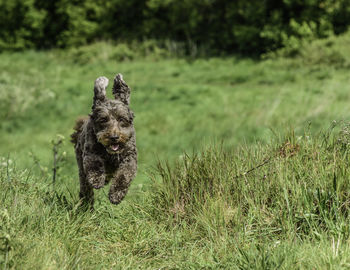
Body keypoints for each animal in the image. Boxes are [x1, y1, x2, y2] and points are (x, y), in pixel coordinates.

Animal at [71, 74, 137, 207]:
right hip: (81, 165)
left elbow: (124, 175)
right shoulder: (90, 153)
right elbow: (95, 165)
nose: (114, 137)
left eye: (121, 119)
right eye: (103, 119)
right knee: (85, 186)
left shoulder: (129, 158)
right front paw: (97, 180)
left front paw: (116, 195)